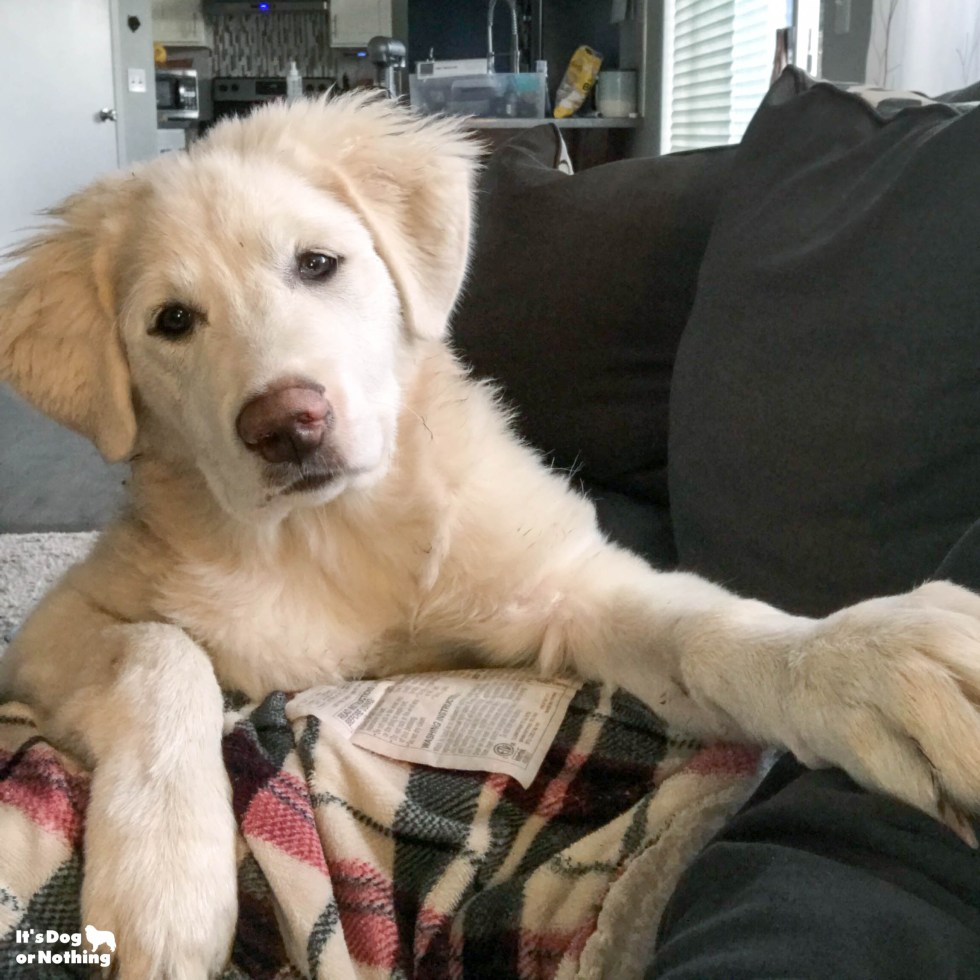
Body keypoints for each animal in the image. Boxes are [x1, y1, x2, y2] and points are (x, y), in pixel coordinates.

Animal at [1, 94, 980, 980]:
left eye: (317, 264)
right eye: (172, 321)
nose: (288, 425)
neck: (336, 535)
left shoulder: (561, 587)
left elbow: (705, 627)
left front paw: (858, 664)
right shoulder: (52, 629)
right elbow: (163, 652)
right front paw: (165, 885)